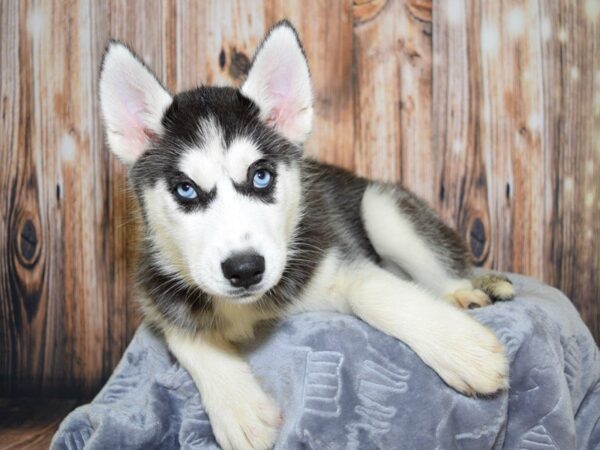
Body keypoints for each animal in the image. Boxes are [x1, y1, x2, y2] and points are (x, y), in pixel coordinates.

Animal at [99, 21, 516, 450]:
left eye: (261, 176)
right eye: (185, 189)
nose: (245, 269)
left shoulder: (331, 251)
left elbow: (373, 290)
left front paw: (462, 349)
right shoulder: (153, 293)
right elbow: (185, 335)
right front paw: (239, 408)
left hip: (381, 207)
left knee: (441, 267)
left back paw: (460, 292)